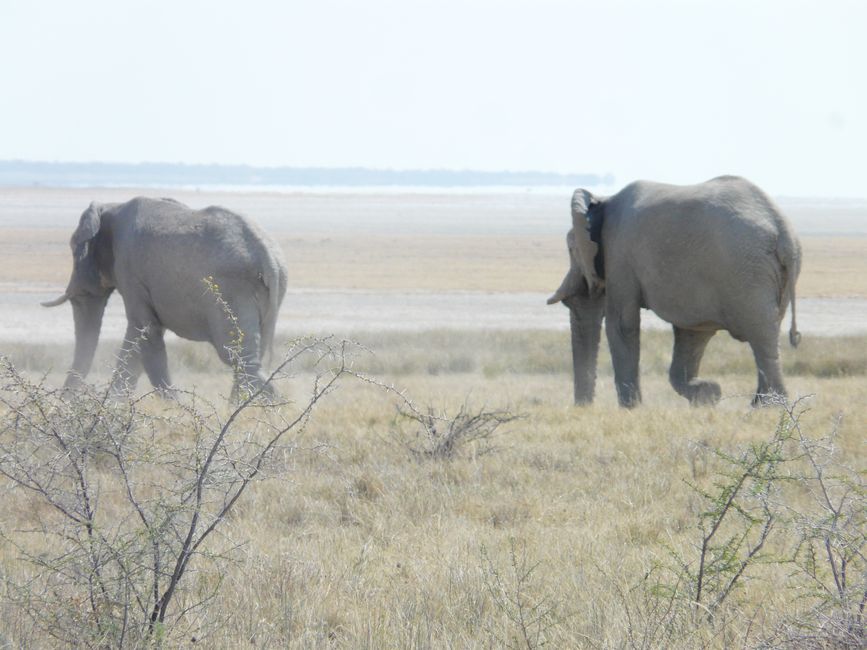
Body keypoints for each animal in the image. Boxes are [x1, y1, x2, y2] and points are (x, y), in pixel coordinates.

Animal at [43, 195, 288, 398]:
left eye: (73, 247)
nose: (65, 402)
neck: (112, 206)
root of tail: (269, 258)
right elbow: (138, 346)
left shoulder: (131, 271)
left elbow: (144, 333)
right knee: (249, 360)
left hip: (230, 291)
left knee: (238, 358)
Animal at [544, 176, 804, 404]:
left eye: (571, 249)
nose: (582, 408)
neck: (603, 200)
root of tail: (783, 232)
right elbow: (693, 331)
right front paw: (707, 394)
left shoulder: (618, 252)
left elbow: (622, 324)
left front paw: (632, 409)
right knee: (768, 334)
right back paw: (760, 406)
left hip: (747, 272)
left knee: (761, 336)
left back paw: (769, 408)